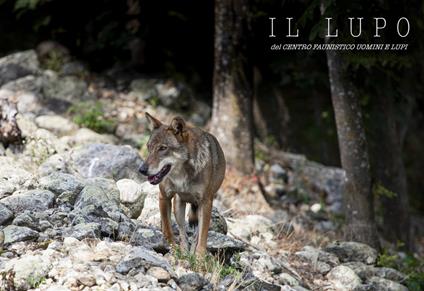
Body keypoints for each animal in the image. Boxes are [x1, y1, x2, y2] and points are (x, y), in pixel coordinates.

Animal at [138, 113, 225, 256]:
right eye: (149, 147)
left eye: (163, 148)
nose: (142, 170)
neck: (182, 176)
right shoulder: (164, 197)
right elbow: (168, 230)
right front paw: (174, 249)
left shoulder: (206, 202)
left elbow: (203, 237)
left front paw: (199, 258)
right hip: (178, 204)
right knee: (182, 232)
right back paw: (184, 252)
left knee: (195, 234)